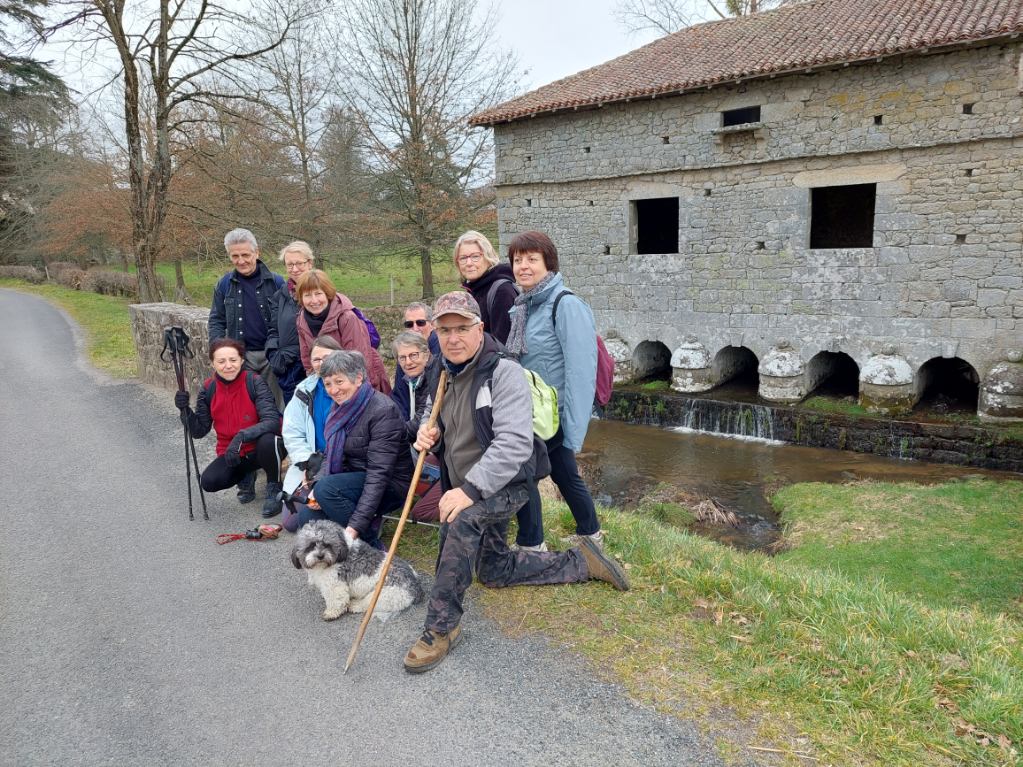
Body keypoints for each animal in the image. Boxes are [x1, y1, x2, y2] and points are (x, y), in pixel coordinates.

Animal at [292, 519, 423, 621]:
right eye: (310, 546)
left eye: (327, 545)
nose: (320, 556)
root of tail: (416, 586)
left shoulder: (335, 584)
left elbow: (337, 601)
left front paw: (331, 613)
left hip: (383, 595)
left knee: (366, 605)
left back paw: (355, 605)